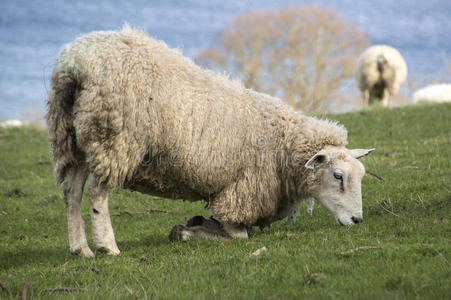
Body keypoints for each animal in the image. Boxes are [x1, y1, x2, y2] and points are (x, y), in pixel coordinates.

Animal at [47, 25, 376, 256]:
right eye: (338, 176)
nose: (358, 220)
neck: (280, 145)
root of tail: (74, 64)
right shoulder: (240, 191)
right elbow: (239, 234)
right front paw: (193, 232)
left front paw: (196, 225)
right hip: (114, 138)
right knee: (97, 193)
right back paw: (107, 247)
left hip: (72, 138)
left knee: (71, 191)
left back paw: (81, 249)